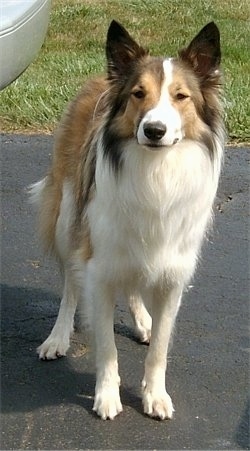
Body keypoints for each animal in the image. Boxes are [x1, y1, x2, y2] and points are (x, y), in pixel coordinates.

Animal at [29, 19, 225, 422]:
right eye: (138, 94)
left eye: (180, 96)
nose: (154, 131)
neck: (156, 172)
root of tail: (97, 78)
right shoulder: (98, 266)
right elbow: (107, 348)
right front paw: (107, 396)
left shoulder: (172, 275)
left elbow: (161, 348)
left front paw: (155, 394)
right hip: (68, 217)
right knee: (70, 285)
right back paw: (57, 337)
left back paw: (142, 321)